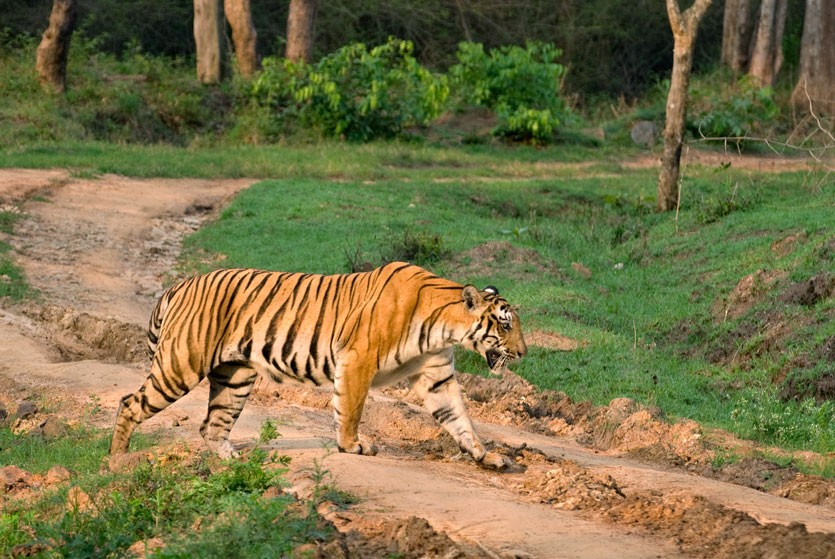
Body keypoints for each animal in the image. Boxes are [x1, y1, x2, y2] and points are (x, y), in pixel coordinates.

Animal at [109, 262, 528, 468]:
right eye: (505, 324)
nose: (524, 353)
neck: (445, 327)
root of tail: (178, 285)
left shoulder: (436, 377)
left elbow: (461, 419)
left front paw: (486, 456)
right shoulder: (358, 360)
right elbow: (351, 408)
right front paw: (352, 446)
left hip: (235, 376)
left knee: (211, 424)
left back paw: (229, 459)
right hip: (180, 365)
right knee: (129, 403)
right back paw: (117, 461)